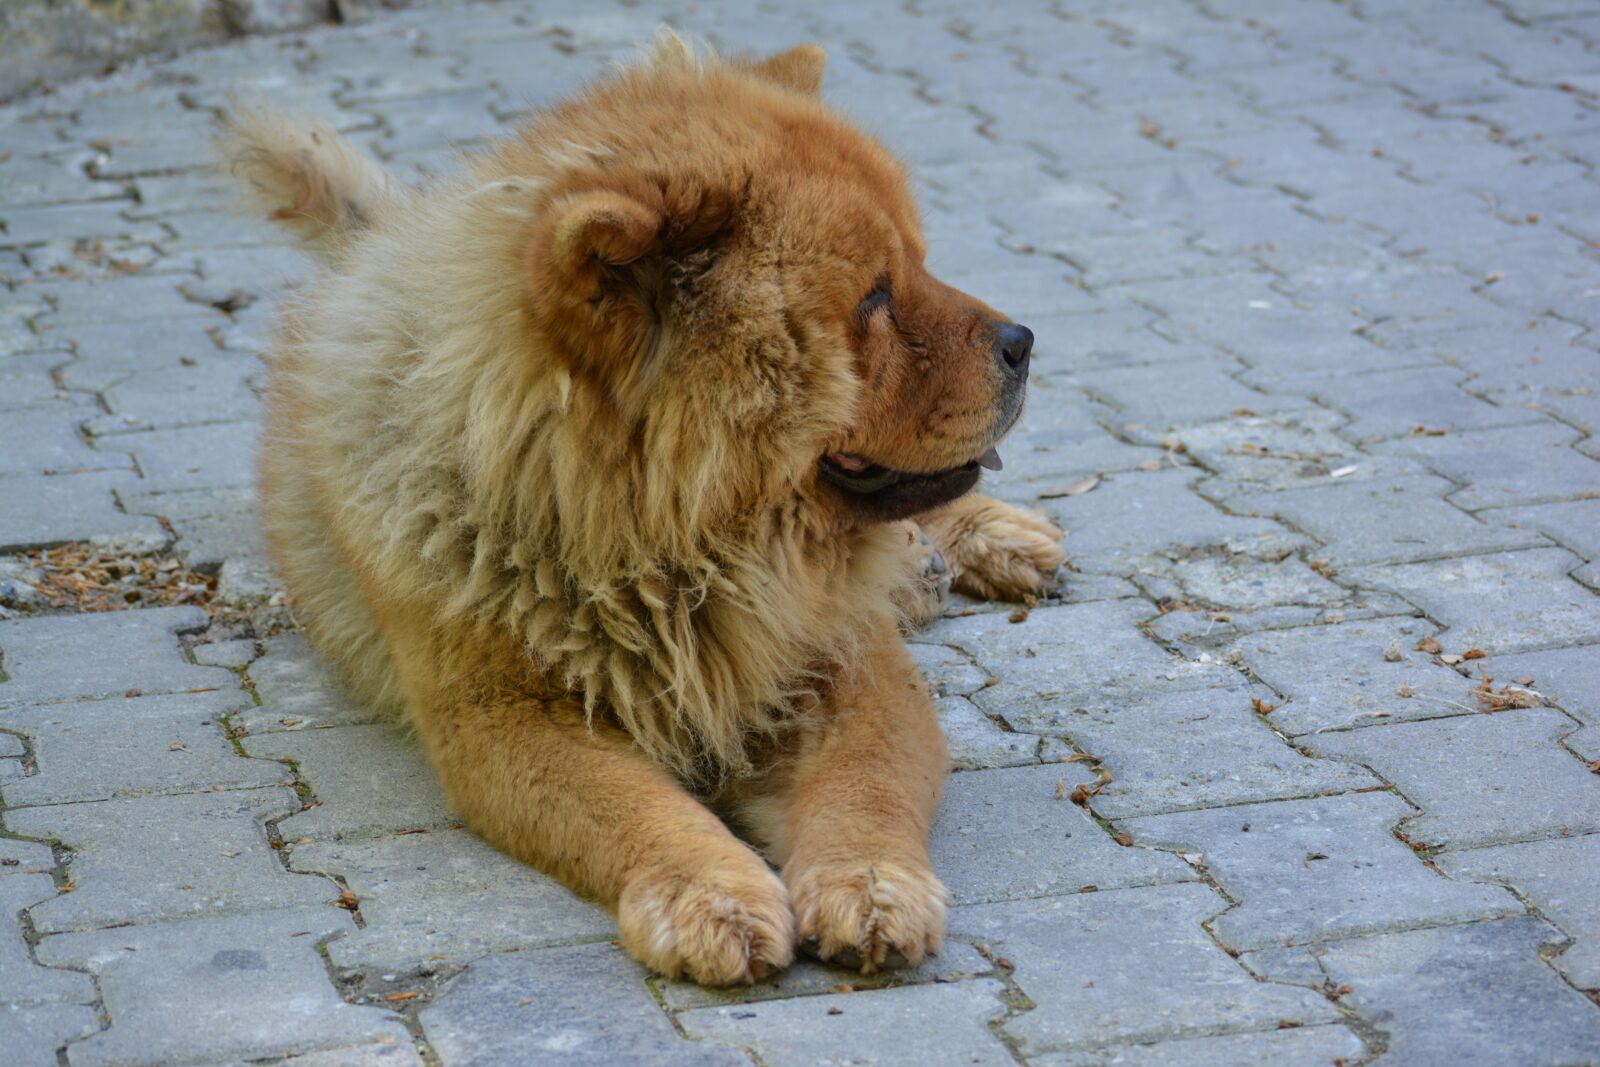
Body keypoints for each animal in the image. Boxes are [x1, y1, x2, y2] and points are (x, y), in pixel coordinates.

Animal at [221, 34, 1063, 986]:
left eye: (920, 262)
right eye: (875, 299)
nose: (1024, 343)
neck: (679, 545)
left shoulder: (847, 665)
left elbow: (866, 786)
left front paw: (873, 887)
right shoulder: (505, 719)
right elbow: (639, 812)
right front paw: (713, 901)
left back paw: (988, 543)